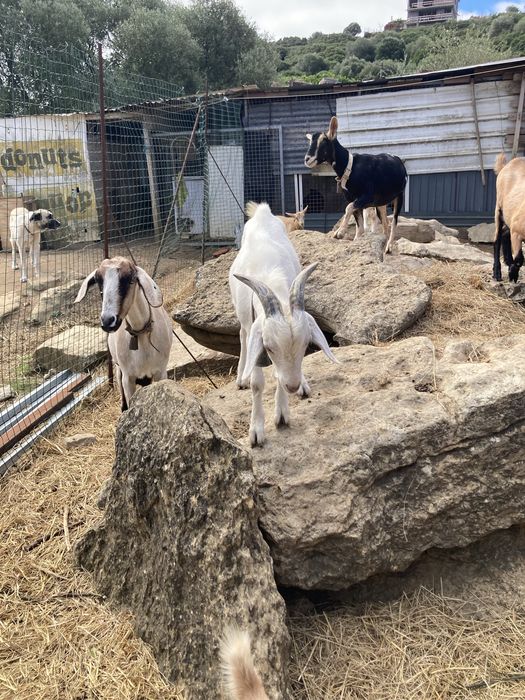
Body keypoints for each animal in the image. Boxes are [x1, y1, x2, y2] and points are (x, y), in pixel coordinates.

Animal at [75, 257, 173, 411]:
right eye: (98, 280)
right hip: (118, 370)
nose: (108, 321)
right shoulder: (127, 377)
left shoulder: (161, 371)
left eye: (130, 278)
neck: (140, 333)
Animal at [229, 202, 338, 447]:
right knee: (242, 334)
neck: (269, 272)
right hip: (242, 316)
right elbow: (258, 382)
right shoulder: (256, 330)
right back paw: (241, 377)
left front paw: (281, 414)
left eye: (307, 344)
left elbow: (279, 375)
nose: (293, 386)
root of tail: (262, 211)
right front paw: (256, 431)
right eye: (269, 348)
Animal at [304, 116, 407, 253]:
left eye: (324, 142)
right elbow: (359, 226)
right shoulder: (353, 199)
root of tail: (398, 160)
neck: (351, 167)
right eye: (310, 142)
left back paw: (389, 246)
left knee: (394, 222)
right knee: (386, 224)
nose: (307, 159)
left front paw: (339, 232)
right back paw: (385, 247)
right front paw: (355, 240)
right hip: (381, 204)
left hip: (399, 196)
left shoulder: (367, 197)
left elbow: (348, 208)